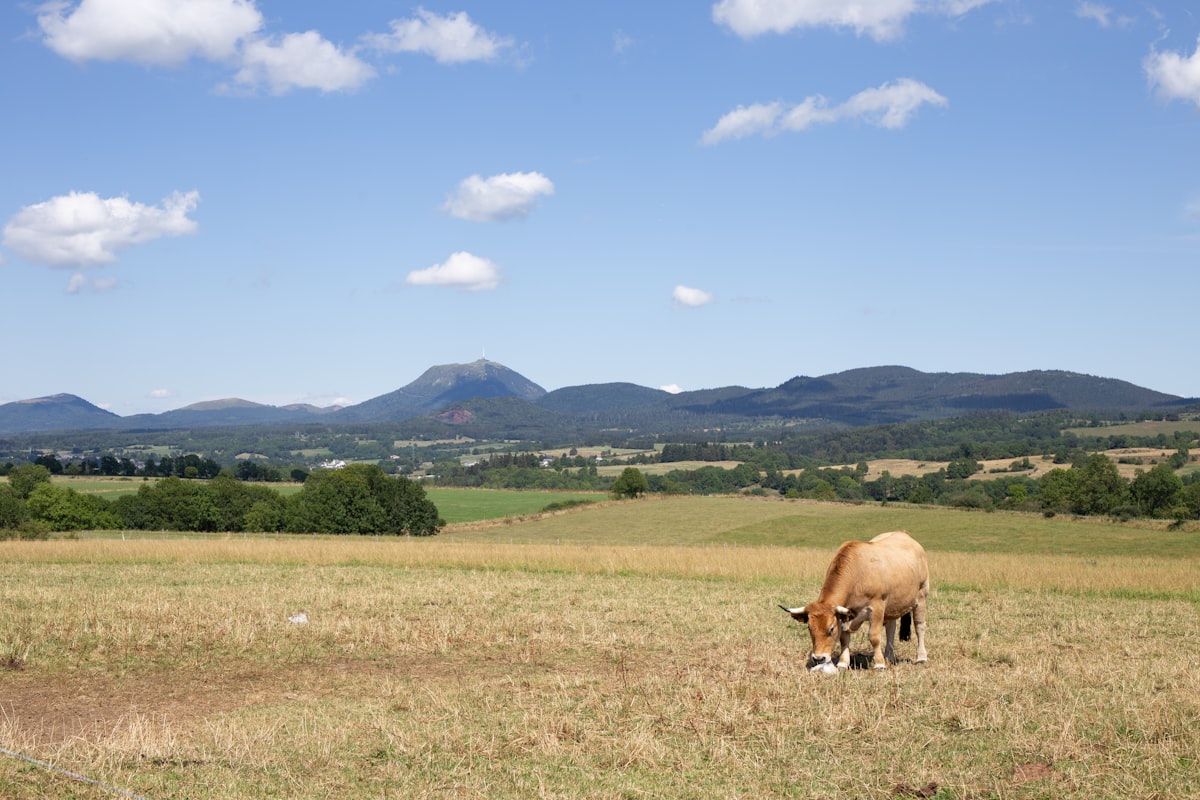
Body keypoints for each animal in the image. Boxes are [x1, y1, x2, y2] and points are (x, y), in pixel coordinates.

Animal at [780, 530, 928, 672]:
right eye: (809, 628)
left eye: (831, 629)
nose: (818, 658)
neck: (858, 574)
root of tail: (904, 534)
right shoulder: (845, 613)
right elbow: (844, 638)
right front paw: (843, 663)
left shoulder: (877, 608)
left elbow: (874, 637)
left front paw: (879, 664)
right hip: (893, 607)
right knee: (891, 628)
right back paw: (889, 656)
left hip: (921, 598)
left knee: (919, 627)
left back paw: (921, 657)